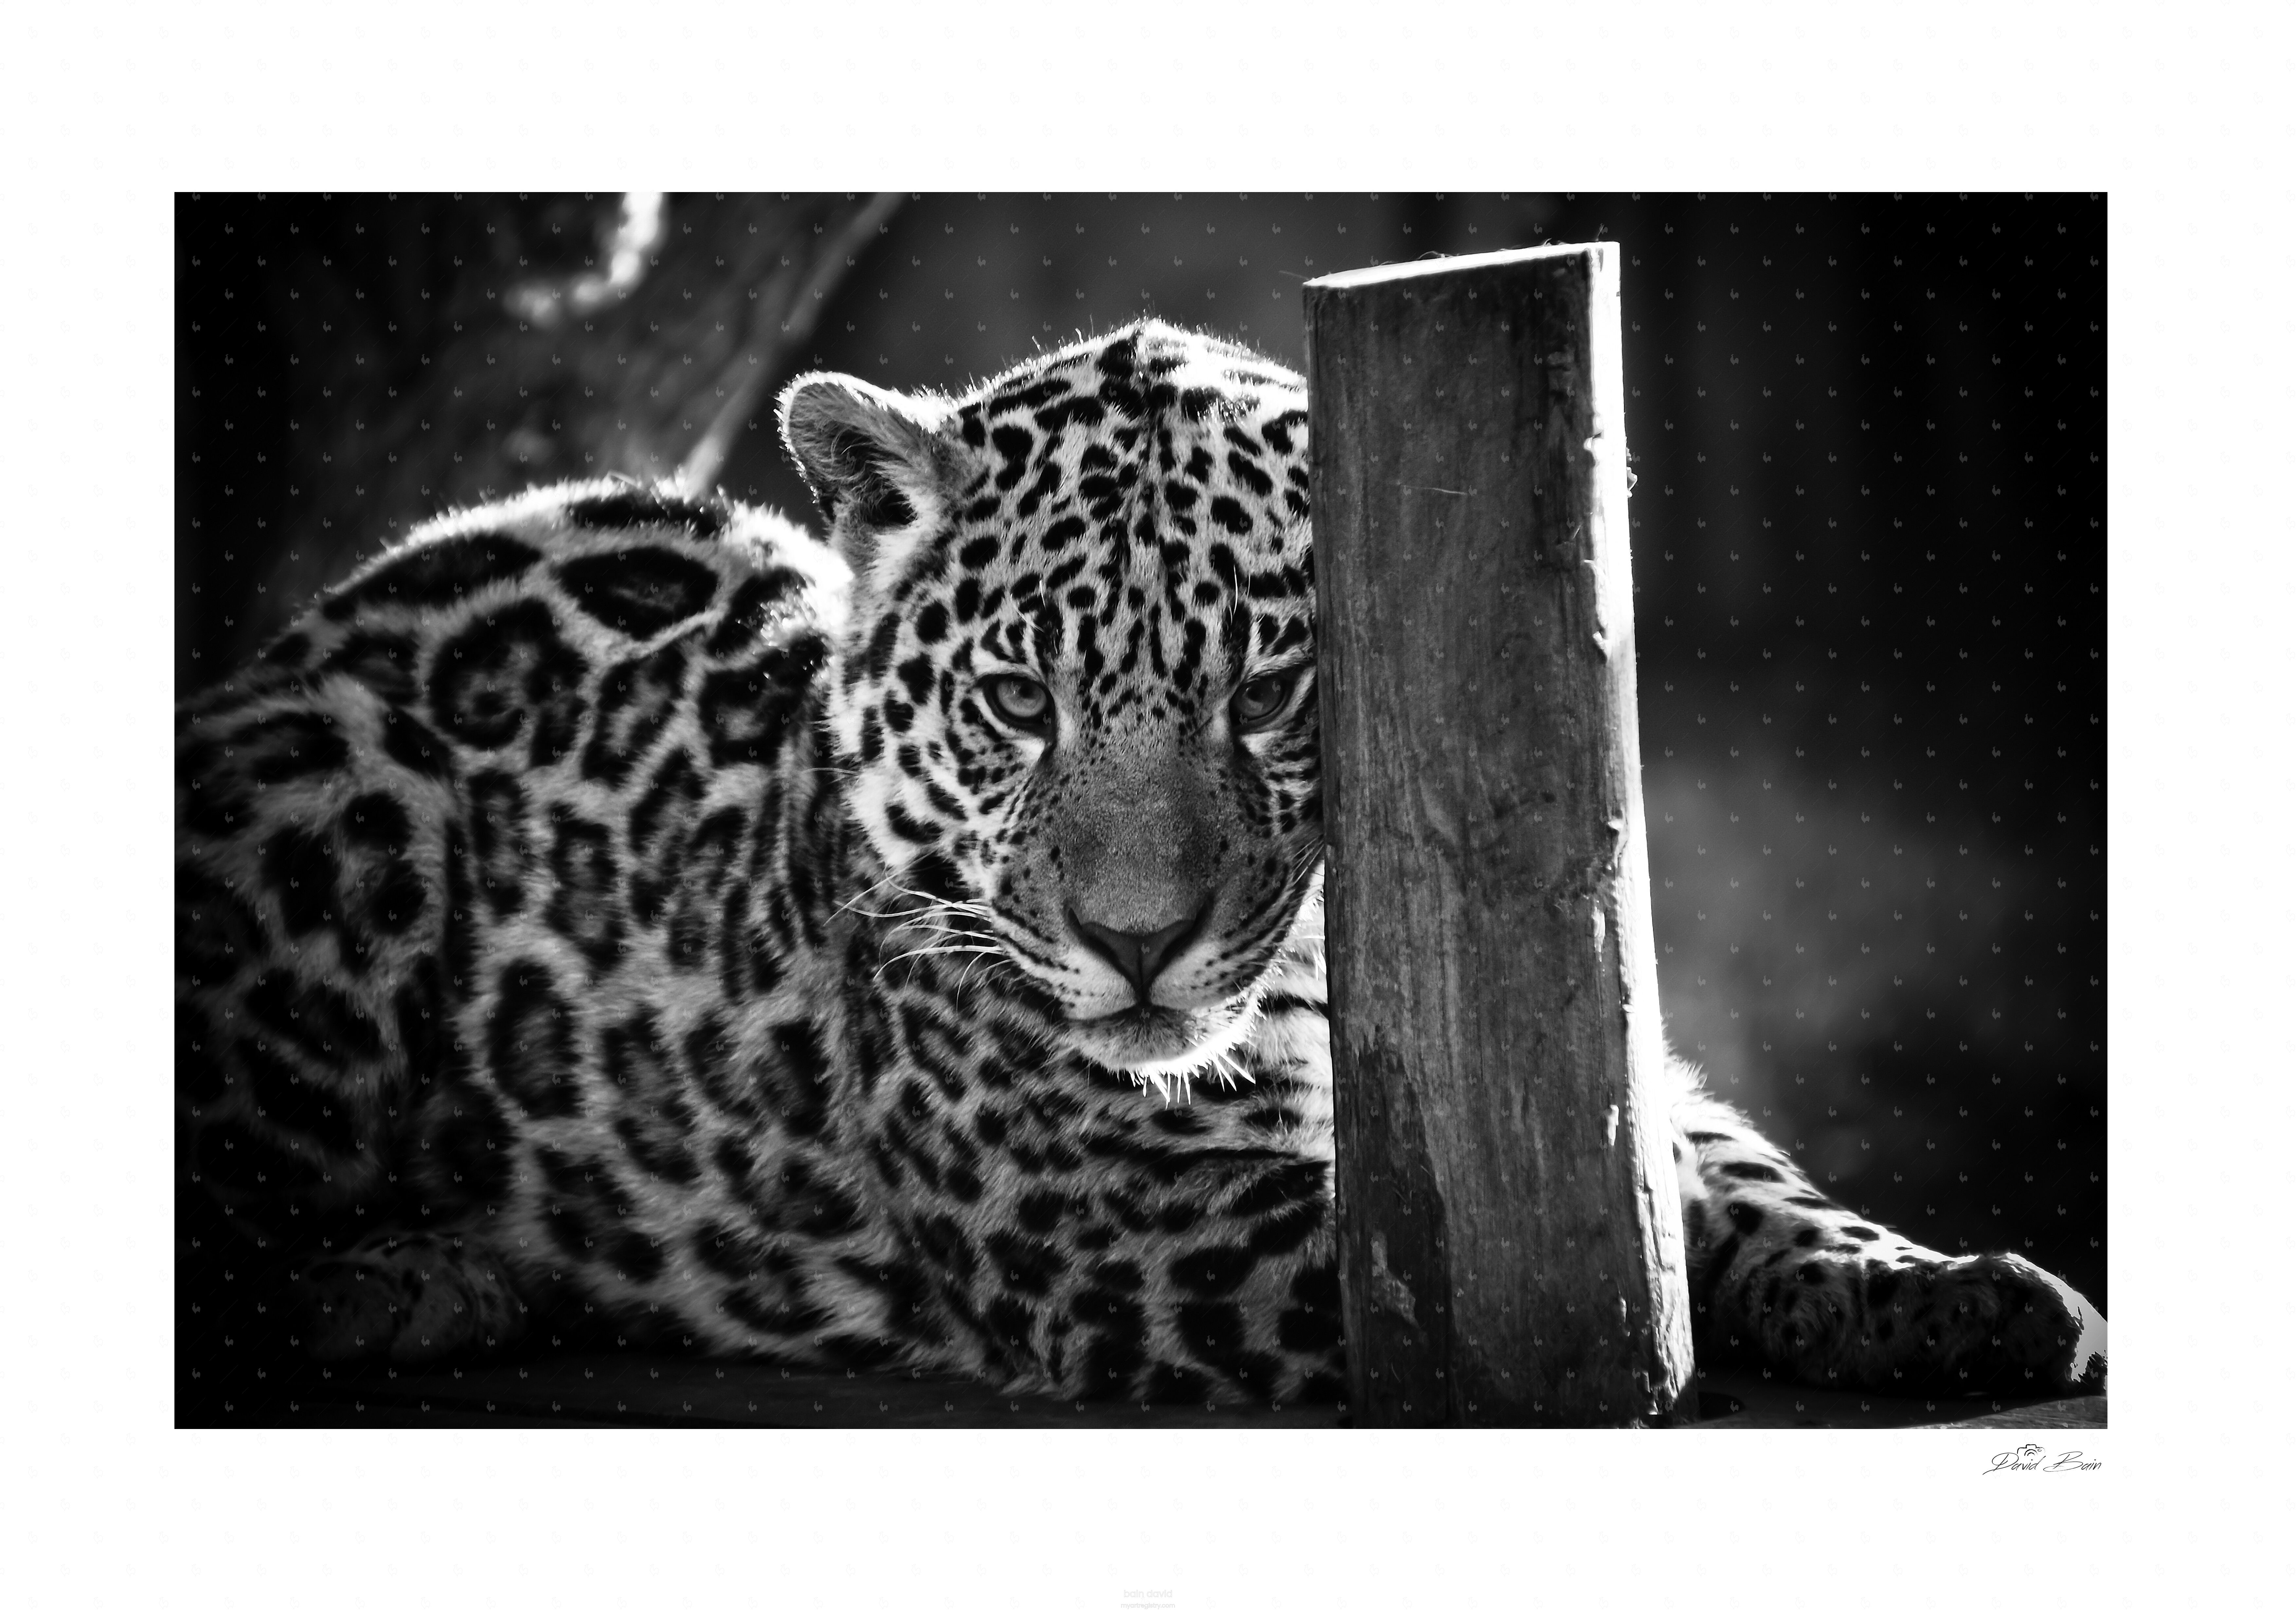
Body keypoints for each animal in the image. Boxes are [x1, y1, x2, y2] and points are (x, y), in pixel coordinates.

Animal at [176, 318, 2107, 1416]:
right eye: (1017, 698)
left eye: (1262, 689)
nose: (1136, 945)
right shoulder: (1122, 1217)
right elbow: (1595, 1252)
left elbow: (1734, 1179)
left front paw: (1938, 1293)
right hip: (343, 790)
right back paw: (389, 1278)